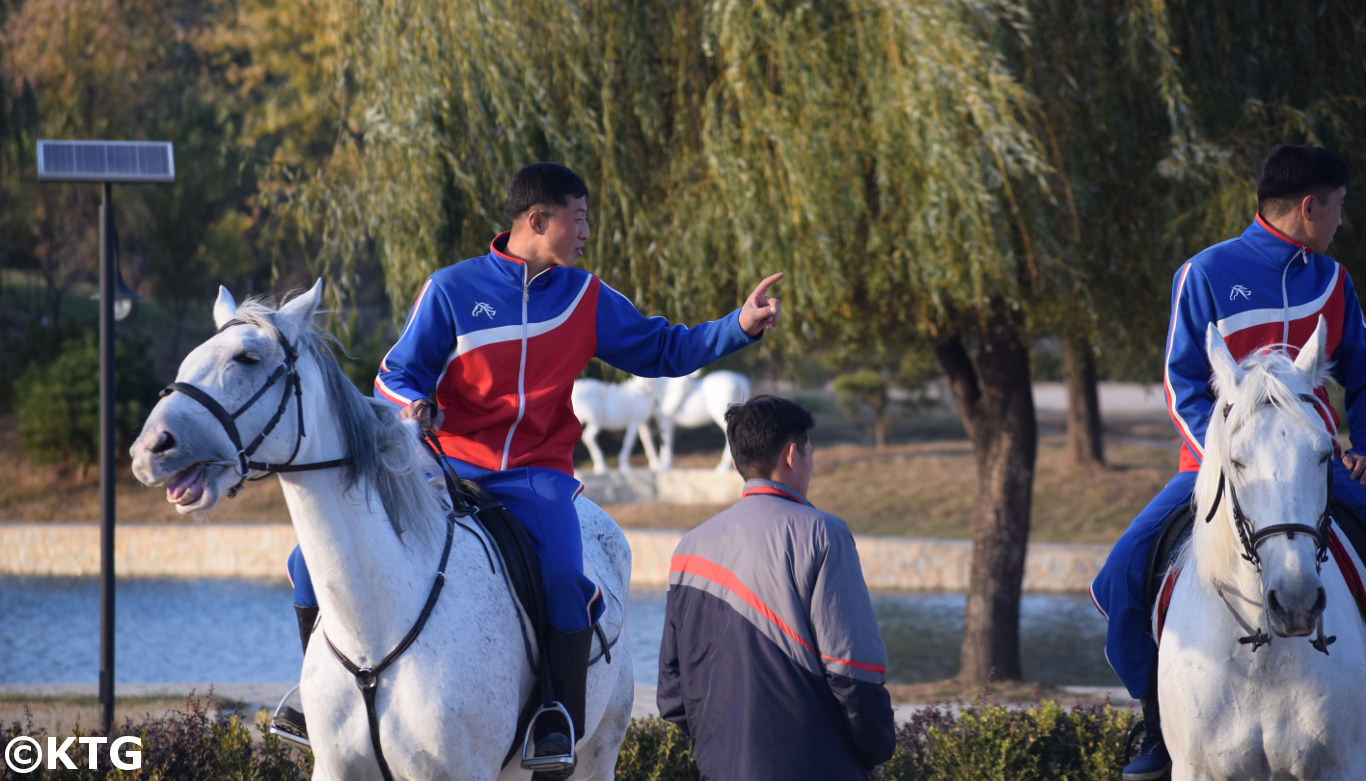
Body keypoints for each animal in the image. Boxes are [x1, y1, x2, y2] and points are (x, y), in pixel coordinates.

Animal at [128, 282, 633, 781]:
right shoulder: (336, 769)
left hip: (597, 755)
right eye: (191, 358)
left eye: (247, 358)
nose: (150, 448)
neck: (373, 625)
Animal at [1152, 318, 1366, 781]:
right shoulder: (1194, 769)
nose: (1296, 601)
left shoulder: (1344, 767)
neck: (1262, 654)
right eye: (1237, 461)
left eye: (1323, 455)